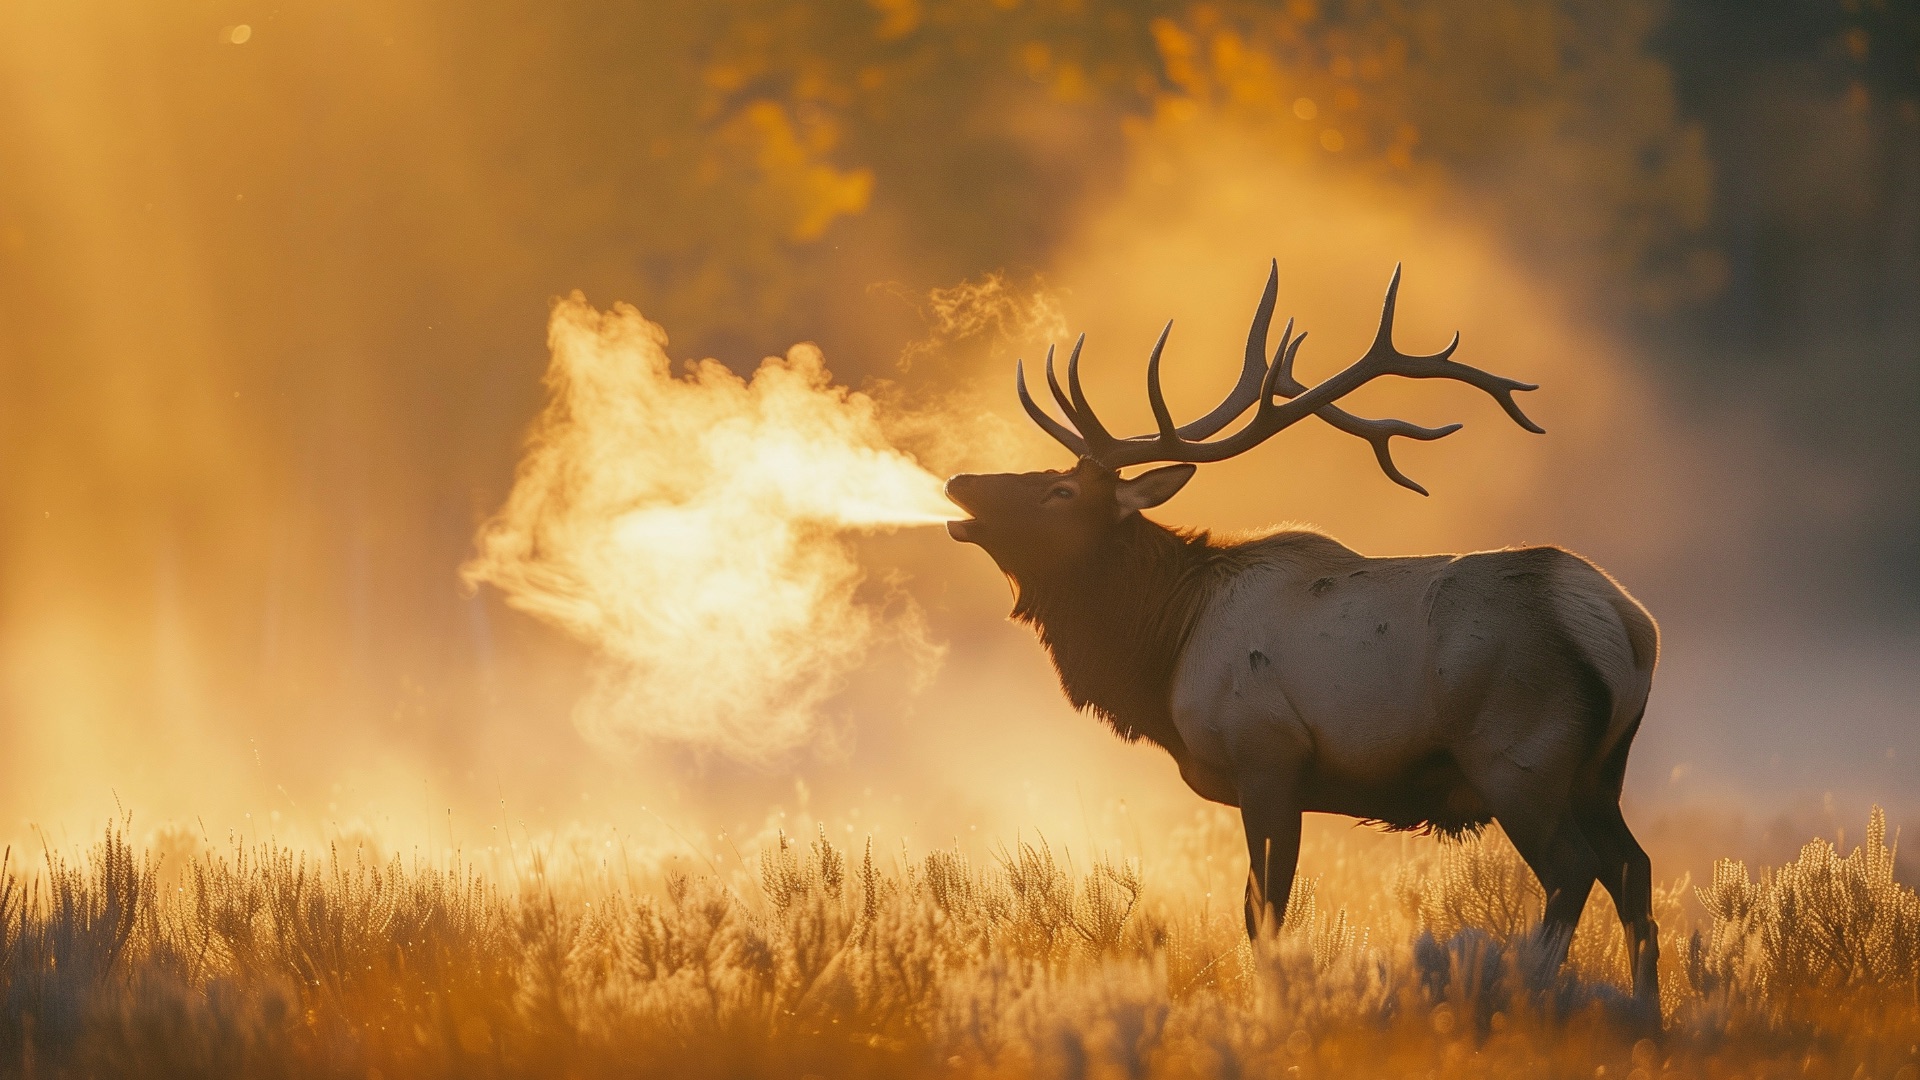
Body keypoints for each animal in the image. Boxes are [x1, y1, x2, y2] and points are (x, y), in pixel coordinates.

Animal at [944, 263, 1662, 1007]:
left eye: (1060, 491)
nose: (961, 479)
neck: (1166, 644)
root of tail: (1628, 626)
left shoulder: (1267, 755)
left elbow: (1263, 912)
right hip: (1598, 772)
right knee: (1633, 873)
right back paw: (1645, 1012)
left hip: (1517, 759)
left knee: (1572, 871)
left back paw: (1529, 990)